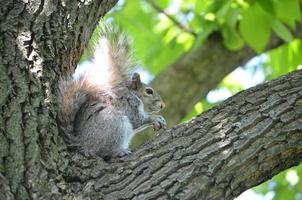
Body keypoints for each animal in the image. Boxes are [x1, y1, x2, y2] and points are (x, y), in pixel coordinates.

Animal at [55, 25, 166, 159]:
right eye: (149, 91)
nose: (162, 105)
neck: (134, 95)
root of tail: (82, 144)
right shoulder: (128, 105)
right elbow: (137, 120)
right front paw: (155, 119)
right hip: (114, 123)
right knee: (102, 152)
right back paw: (119, 151)